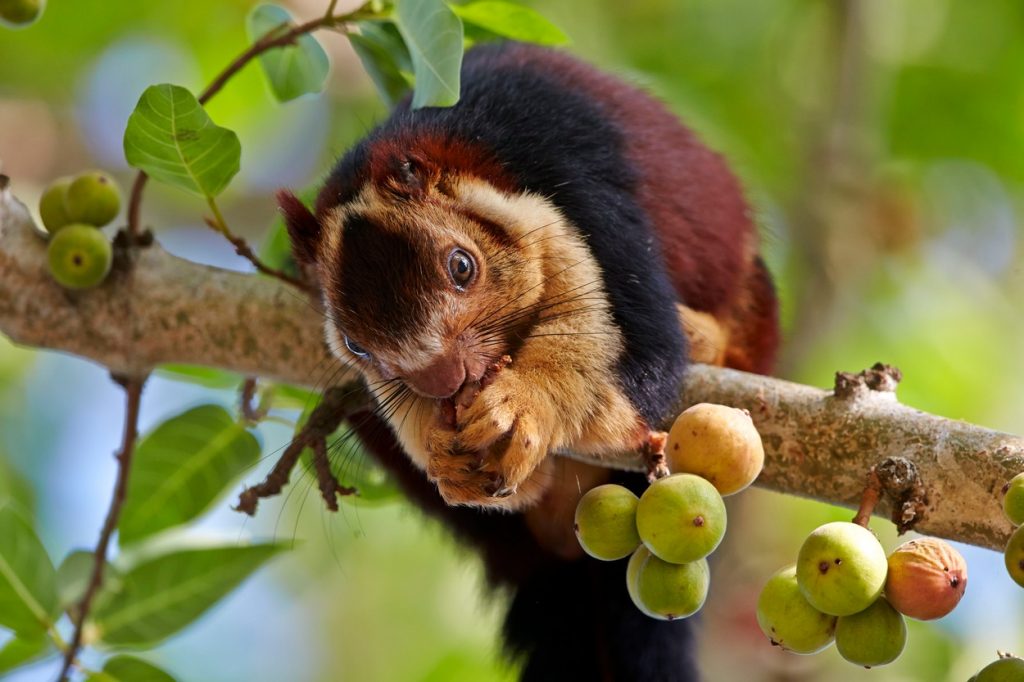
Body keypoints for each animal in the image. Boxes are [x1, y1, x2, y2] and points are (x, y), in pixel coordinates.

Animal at [278, 41, 774, 679]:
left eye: (462, 266)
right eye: (356, 345)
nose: (444, 380)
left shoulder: (578, 187)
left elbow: (640, 356)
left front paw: (525, 409)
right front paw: (445, 457)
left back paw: (707, 337)